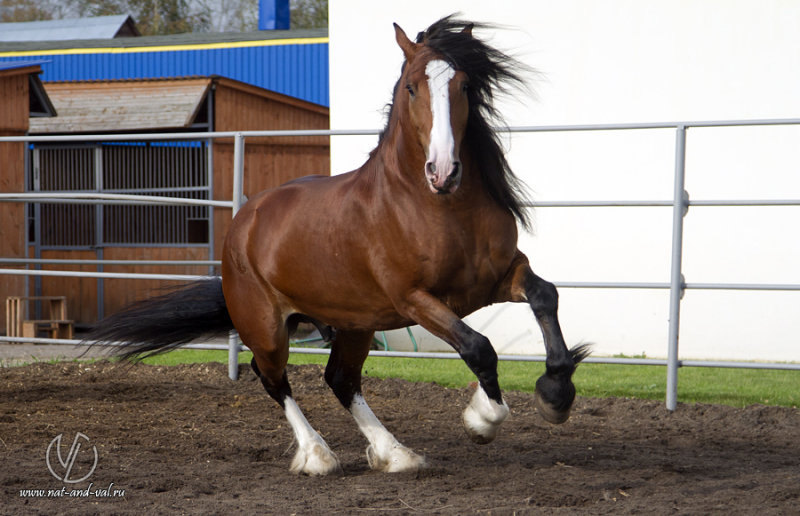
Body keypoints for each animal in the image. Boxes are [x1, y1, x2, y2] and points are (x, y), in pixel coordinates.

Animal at [89, 16, 588, 476]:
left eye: (464, 84)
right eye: (411, 88)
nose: (443, 170)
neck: (438, 207)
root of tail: (246, 218)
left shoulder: (498, 278)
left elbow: (545, 296)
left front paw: (556, 395)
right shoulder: (414, 299)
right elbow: (478, 347)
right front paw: (482, 420)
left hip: (355, 323)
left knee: (340, 379)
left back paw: (396, 454)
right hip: (268, 327)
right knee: (272, 377)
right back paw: (318, 456)